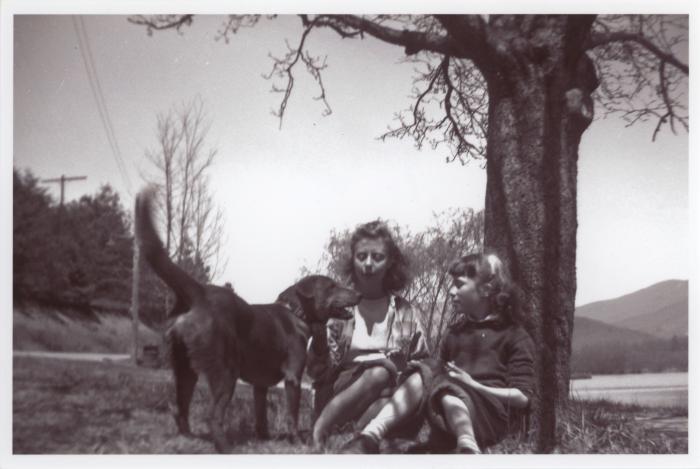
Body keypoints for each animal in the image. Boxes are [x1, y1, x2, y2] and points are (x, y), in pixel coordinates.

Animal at [135, 186, 360, 450]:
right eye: (332, 286)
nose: (359, 293)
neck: (296, 312)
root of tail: (199, 292)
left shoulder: (259, 386)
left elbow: (261, 416)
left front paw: (264, 439)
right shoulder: (293, 377)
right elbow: (291, 416)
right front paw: (297, 442)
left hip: (184, 368)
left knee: (181, 409)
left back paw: (189, 440)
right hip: (225, 372)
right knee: (213, 416)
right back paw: (224, 448)